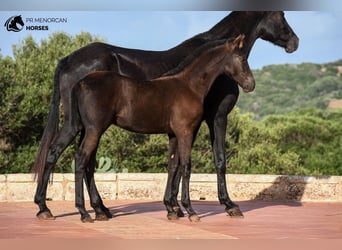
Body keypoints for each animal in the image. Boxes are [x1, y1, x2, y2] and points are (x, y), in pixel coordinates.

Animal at [33, 10, 298, 220]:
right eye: (282, 14)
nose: (294, 42)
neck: (189, 83)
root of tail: (68, 62)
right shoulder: (214, 118)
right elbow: (210, 161)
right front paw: (224, 206)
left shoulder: (177, 131)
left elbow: (174, 165)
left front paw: (173, 208)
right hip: (87, 127)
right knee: (73, 157)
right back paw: (65, 209)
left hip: (84, 126)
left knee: (72, 157)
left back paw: (93, 210)